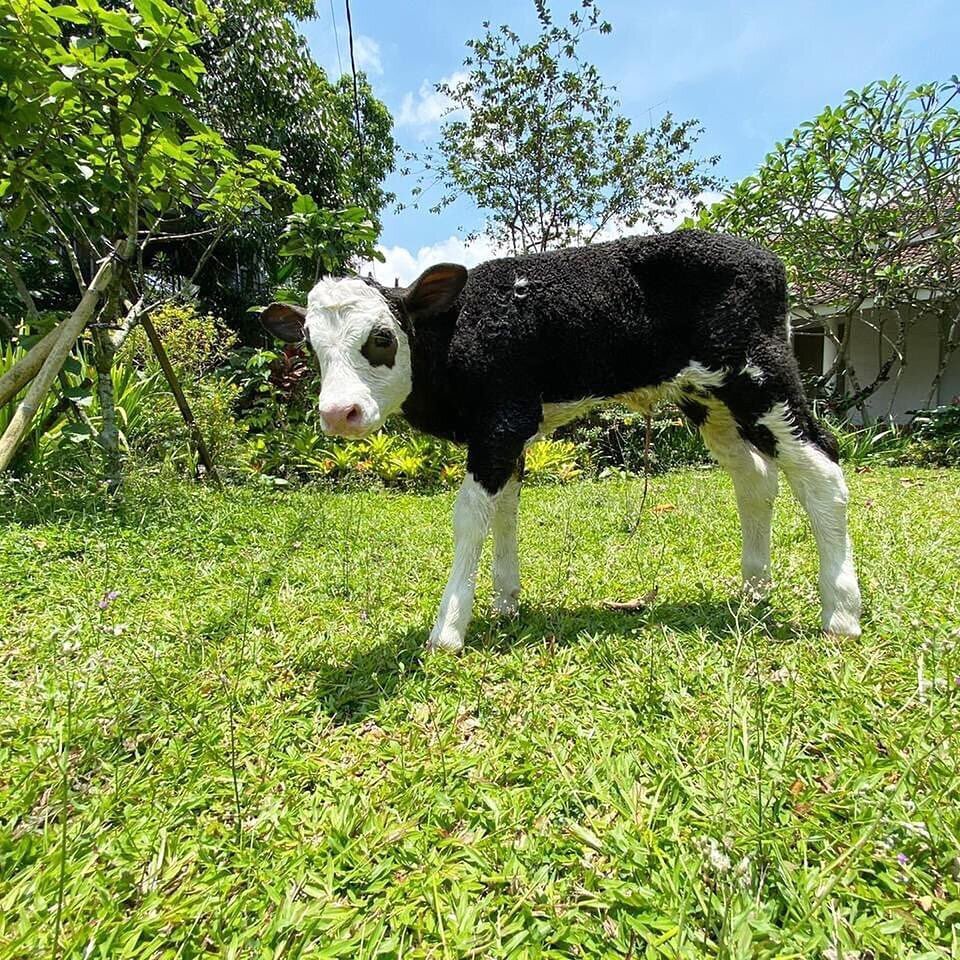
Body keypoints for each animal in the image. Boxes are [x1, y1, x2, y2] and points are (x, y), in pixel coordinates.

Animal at [260, 232, 864, 652]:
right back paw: (754, 590)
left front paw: (449, 628)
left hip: (762, 378)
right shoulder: (506, 437)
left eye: (382, 338)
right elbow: (504, 510)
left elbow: (469, 517)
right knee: (755, 479)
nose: (338, 413)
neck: (456, 332)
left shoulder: (502, 421)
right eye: (310, 346)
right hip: (709, 398)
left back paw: (840, 613)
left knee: (822, 467)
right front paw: (505, 601)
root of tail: (767, 259)